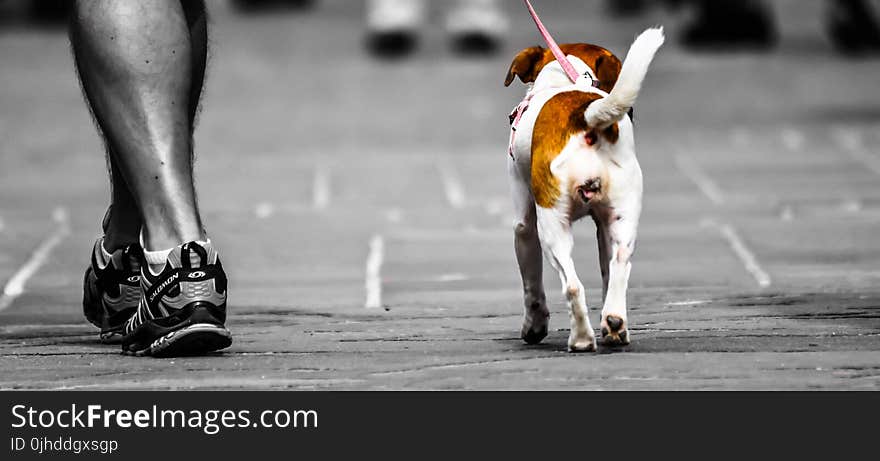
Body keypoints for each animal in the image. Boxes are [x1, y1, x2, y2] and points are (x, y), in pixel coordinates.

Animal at [506, 27, 664, 352]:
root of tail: (584, 116)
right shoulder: (603, 226)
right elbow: (606, 271)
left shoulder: (524, 225)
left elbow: (532, 285)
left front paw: (534, 327)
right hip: (622, 218)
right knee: (619, 267)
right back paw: (614, 325)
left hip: (552, 225)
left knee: (572, 285)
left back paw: (581, 339)